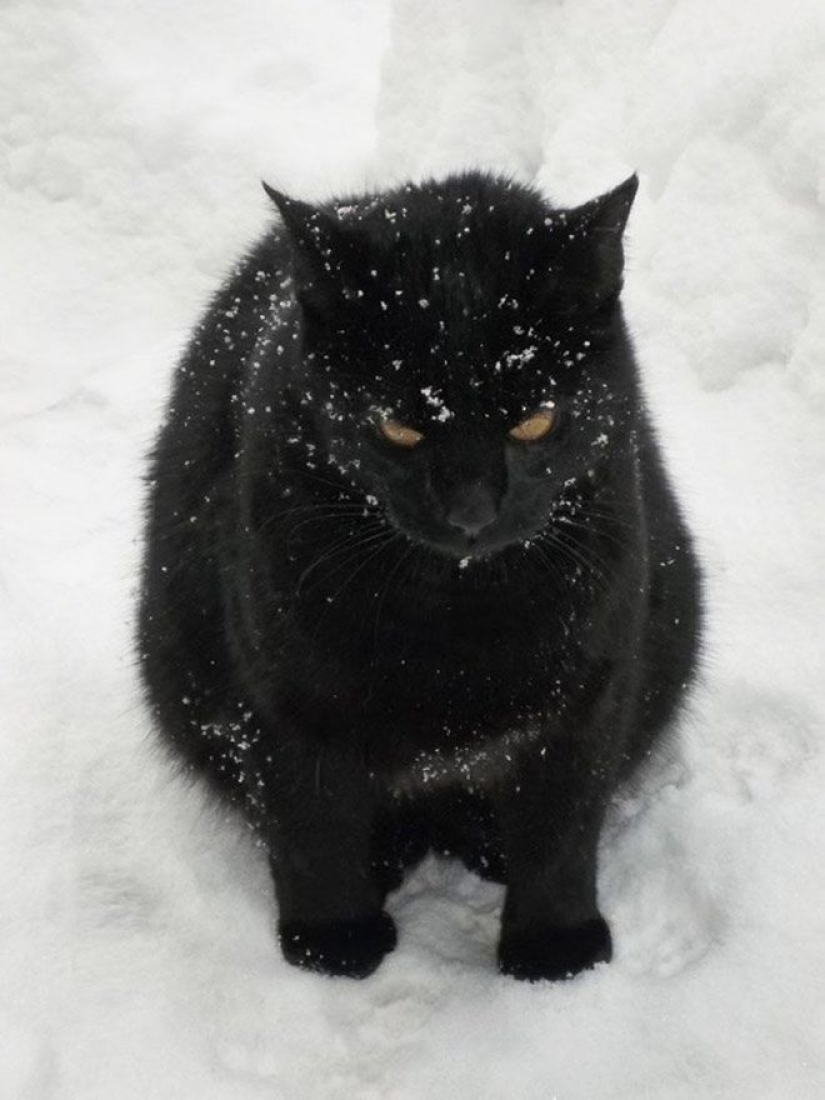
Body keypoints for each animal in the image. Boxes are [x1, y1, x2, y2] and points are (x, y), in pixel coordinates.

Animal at [137, 171, 704, 981]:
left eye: (534, 421)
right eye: (398, 427)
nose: (471, 510)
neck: (452, 616)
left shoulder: (587, 695)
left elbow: (561, 830)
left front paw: (554, 950)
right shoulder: (280, 698)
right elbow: (310, 826)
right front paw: (334, 943)